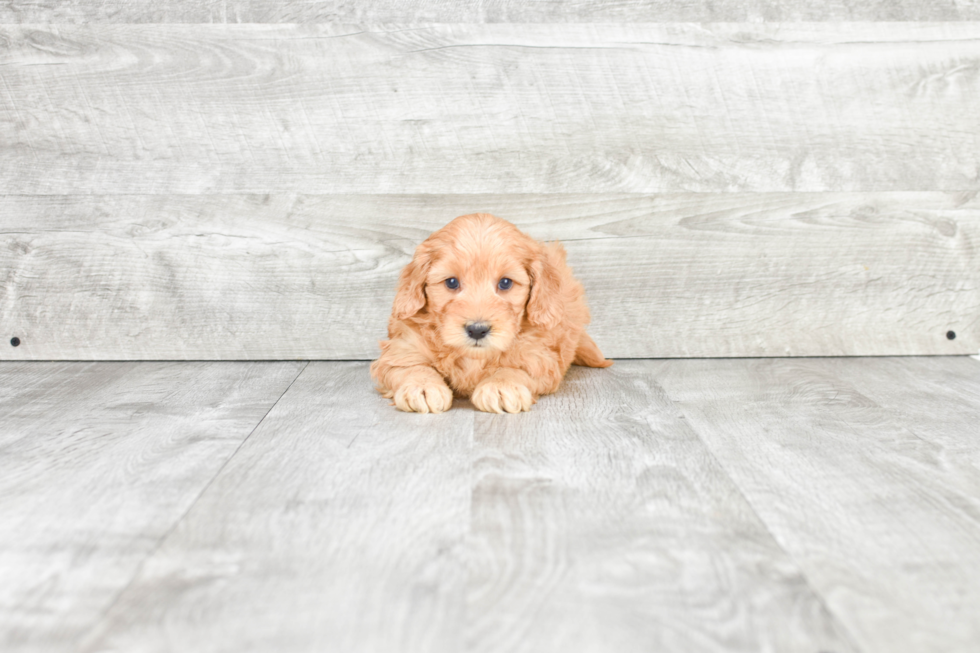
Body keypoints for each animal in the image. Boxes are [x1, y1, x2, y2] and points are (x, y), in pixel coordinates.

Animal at [370, 213, 608, 412]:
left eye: (505, 283)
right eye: (451, 282)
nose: (477, 330)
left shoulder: (539, 356)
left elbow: (517, 368)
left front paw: (501, 385)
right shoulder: (403, 347)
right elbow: (411, 366)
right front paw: (422, 386)